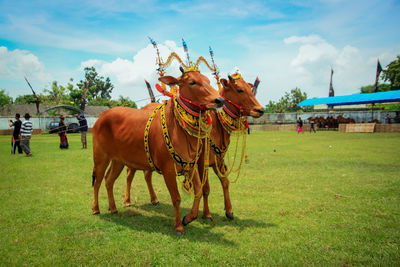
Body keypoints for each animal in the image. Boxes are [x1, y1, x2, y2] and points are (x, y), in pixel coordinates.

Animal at [91, 69, 225, 234]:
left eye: (208, 80)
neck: (178, 127)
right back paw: (96, 209)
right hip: (100, 157)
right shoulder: (168, 170)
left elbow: (199, 191)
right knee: (97, 181)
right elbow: (176, 198)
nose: (219, 100)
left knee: (109, 180)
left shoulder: (191, 165)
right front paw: (178, 226)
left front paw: (188, 218)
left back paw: (113, 208)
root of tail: (101, 117)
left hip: (118, 161)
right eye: (192, 82)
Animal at [123, 73, 264, 224]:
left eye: (250, 89)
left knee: (147, 174)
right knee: (129, 174)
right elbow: (205, 188)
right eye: (239, 90)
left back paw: (154, 199)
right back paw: (127, 201)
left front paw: (229, 211)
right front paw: (206, 214)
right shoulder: (202, 162)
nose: (260, 110)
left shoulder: (218, 160)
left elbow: (224, 182)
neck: (217, 126)